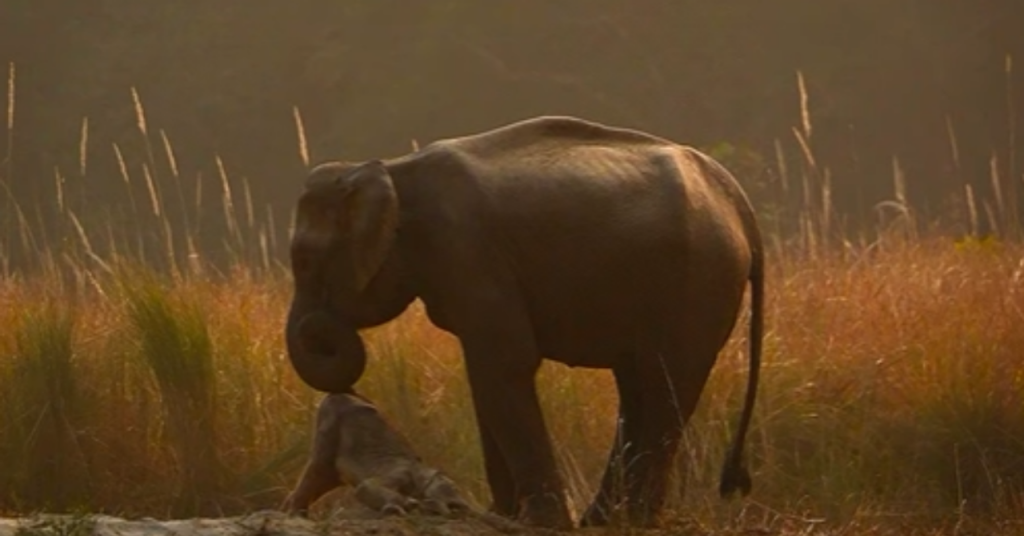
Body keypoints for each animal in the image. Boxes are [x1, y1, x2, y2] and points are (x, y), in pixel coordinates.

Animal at [280, 392, 474, 518]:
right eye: (454, 487)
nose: (464, 506)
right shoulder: (397, 474)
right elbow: (368, 488)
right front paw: (403, 506)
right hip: (325, 444)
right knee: (311, 477)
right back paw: (295, 513)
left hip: (332, 472)